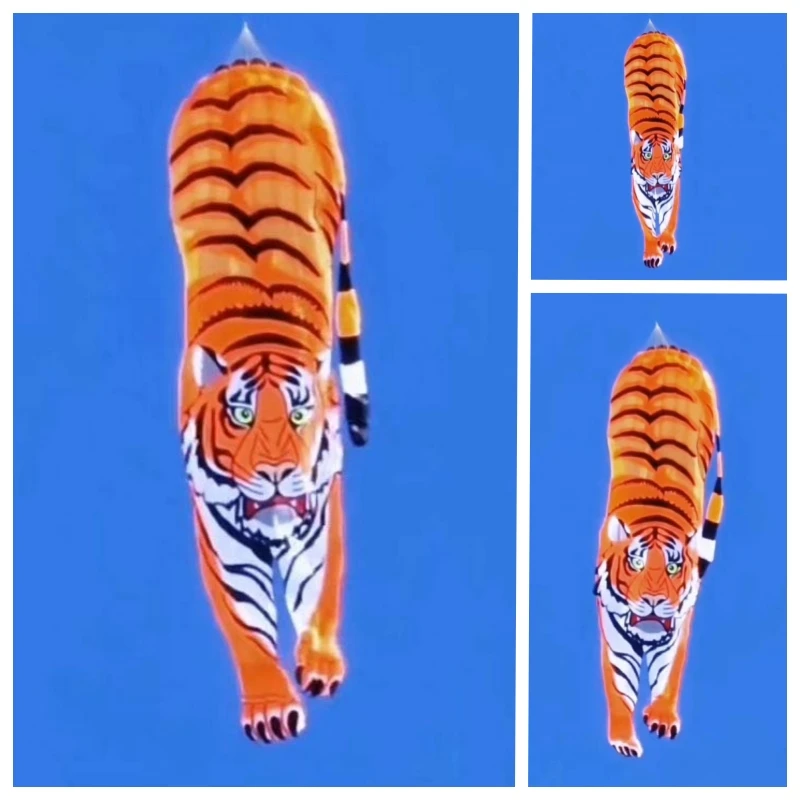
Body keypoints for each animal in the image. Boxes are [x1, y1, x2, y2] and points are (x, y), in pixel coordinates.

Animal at [168, 28, 369, 745]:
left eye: (301, 414)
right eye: (241, 417)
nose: (280, 474)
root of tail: (249, 58)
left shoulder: (324, 508)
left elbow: (321, 589)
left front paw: (319, 663)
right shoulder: (217, 535)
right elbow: (246, 626)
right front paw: (272, 707)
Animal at [593, 337, 723, 758]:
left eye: (672, 567)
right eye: (634, 563)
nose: (652, 602)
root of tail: (664, 346)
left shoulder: (680, 628)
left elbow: (670, 674)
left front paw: (662, 718)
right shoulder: (613, 636)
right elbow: (619, 687)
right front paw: (624, 740)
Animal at [624, 21, 687, 268]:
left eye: (668, 155)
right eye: (647, 156)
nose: (659, 176)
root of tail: (652, 31)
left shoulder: (675, 186)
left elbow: (671, 216)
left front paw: (666, 241)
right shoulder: (638, 192)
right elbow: (647, 225)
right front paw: (653, 252)